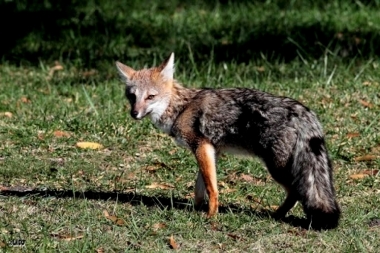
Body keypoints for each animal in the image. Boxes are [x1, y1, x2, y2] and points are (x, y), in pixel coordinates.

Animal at [116, 52, 342, 229]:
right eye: (132, 96)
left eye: (150, 97)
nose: (134, 114)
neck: (181, 107)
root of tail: (305, 112)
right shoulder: (210, 149)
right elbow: (200, 187)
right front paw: (196, 209)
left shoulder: (201, 146)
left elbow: (211, 188)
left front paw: (210, 216)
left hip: (277, 169)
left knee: (296, 193)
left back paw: (275, 215)